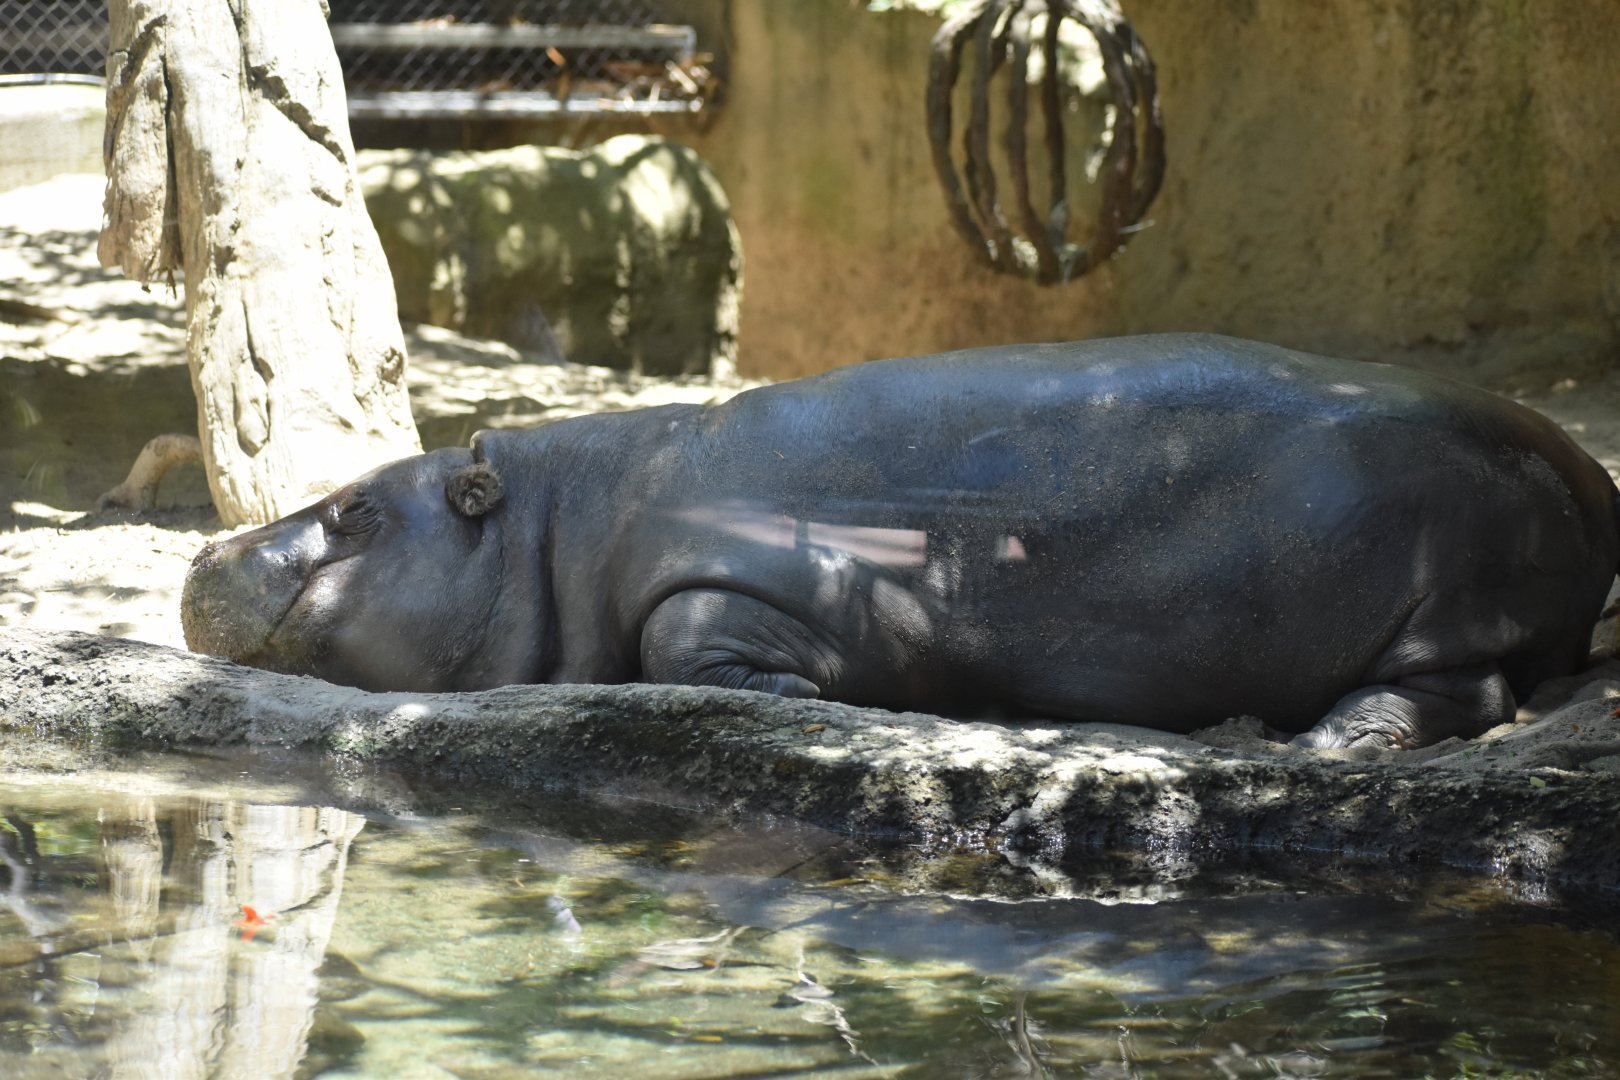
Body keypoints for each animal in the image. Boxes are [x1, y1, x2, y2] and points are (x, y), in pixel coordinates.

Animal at [181, 333, 1620, 750]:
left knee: (1470, 690)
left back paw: (1329, 740)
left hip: (1445, 601)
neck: (559, 518)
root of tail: (1583, 468)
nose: (198, 556)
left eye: (357, 509)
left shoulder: (733, 590)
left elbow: (685, 635)